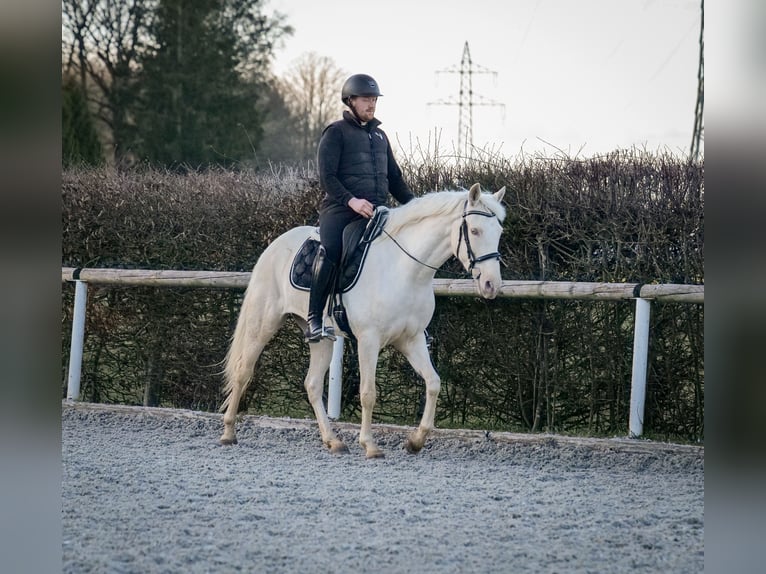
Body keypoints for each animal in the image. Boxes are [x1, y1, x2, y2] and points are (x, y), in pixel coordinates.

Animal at [222, 182, 508, 462]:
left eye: (499, 232)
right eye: (475, 230)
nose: (491, 285)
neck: (404, 270)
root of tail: (275, 245)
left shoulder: (412, 340)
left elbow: (433, 383)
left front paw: (415, 441)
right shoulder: (369, 340)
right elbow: (368, 393)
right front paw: (370, 445)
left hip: (321, 339)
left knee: (312, 384)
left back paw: (333, 441)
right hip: (263, 323)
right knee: (243, 371)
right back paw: (228, 433)